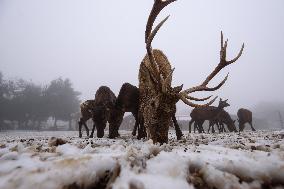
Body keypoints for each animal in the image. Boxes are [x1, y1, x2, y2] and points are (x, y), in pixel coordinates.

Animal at [138, 0, 244, 143]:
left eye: (172, 110)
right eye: (153, 104)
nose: (161, 140)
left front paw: (178, 134)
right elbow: (141, 112)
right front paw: (141, 134)